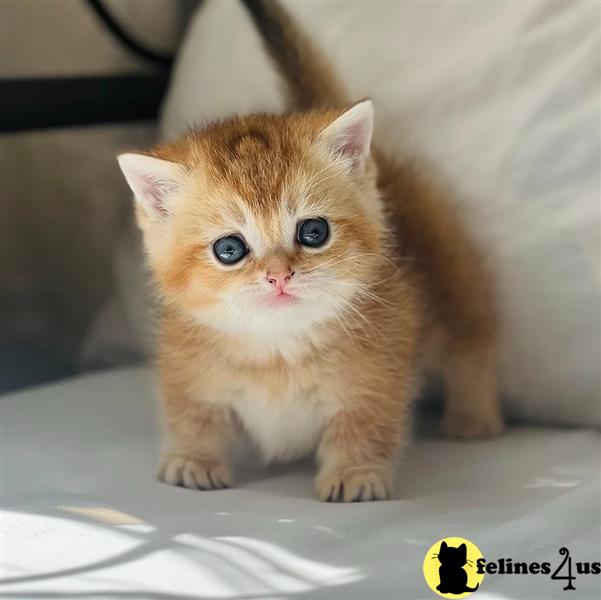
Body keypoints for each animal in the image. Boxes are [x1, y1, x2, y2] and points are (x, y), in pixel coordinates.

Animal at [116, 0, 502, 502]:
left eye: (313, 232)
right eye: (229, 248)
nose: (279, 274)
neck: (278, 349)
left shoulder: (374, 377)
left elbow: (364, 426)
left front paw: (355, 474)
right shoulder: (188, 370)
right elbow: (193, 414)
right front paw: (192, 460)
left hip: (449, 274)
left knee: (471, 339)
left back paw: (474, 415)